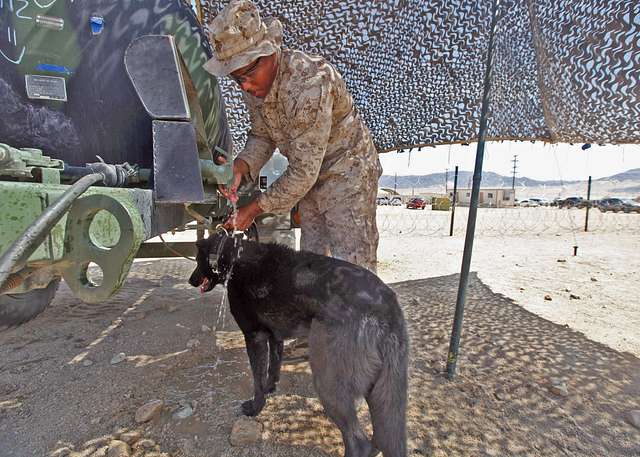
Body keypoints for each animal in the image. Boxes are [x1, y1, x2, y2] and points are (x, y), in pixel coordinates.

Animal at [190, 233, 410, 454]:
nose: (191, 280)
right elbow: (273, 368)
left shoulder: (255, 337)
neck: (234, 257)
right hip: (380, 392)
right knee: (379, 437)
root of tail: (387, 305)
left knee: (359, 443)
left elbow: (257, 380)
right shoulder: (275, 336)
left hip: (328, 379)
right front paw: (271, 388)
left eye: (198, 260)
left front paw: (255, 407)